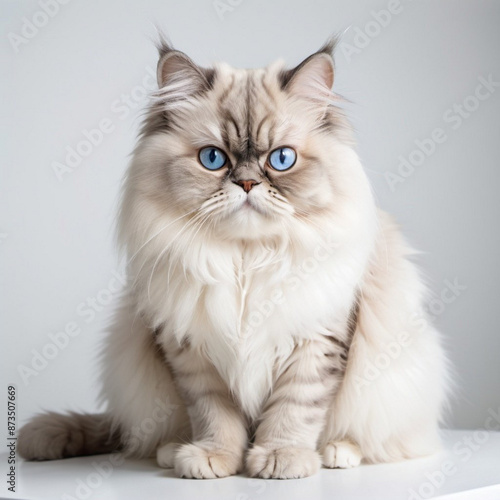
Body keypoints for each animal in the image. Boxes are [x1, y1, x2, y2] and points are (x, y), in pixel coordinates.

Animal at [17, 37, 452, 478]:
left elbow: (294, 410)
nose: (246, 183)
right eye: (213, 158)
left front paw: (280, 458)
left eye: (281, 159)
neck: (247, 261)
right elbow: (215, 417)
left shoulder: (315, 341)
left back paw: (337, 453)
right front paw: (214, 459)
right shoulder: (193, 353)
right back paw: (173, 451)